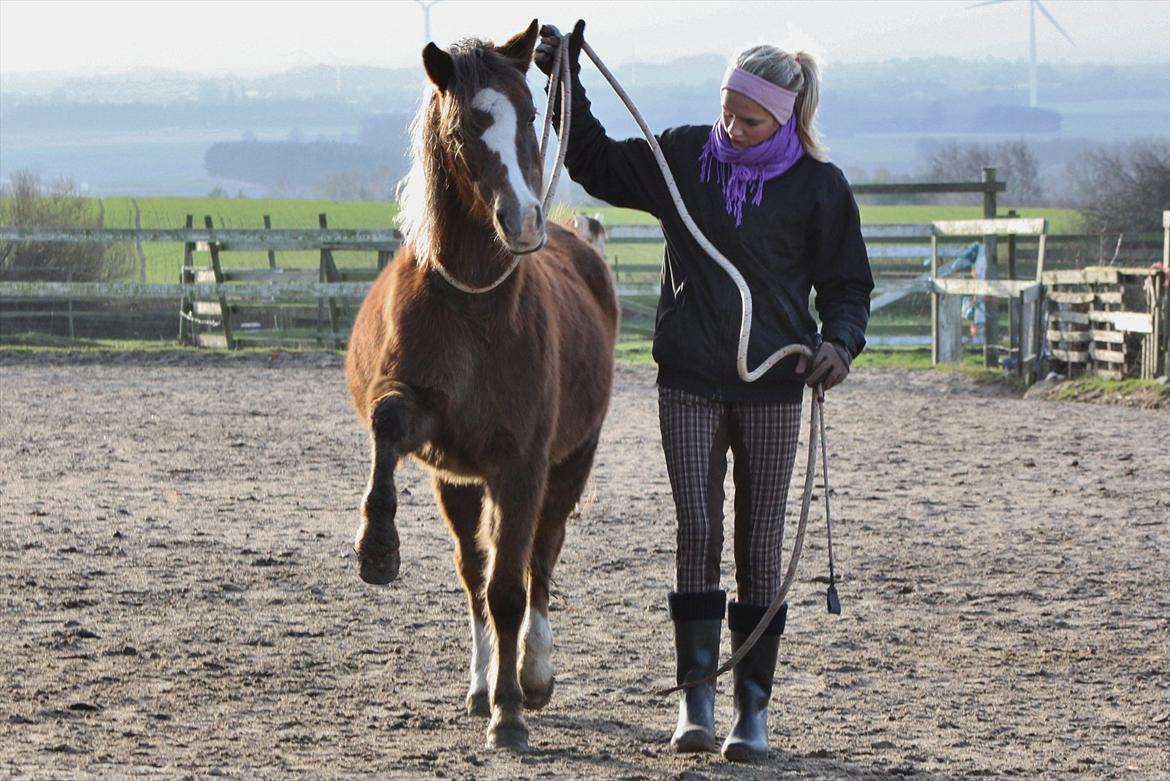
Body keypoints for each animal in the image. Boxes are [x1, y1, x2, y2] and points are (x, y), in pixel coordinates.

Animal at [344, 20, 619, 751]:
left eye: (528, 112)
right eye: (470, 120)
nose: (522, 222)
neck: (474, 307)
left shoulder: (521, 466)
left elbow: (512, 590)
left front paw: (512, 713)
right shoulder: (429, 431)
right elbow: (387, 422)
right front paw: (377, 546)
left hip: (570, 463)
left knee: (540, 561)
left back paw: (532, 675)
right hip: (459, 483)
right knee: (473, 570)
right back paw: (479, 682)